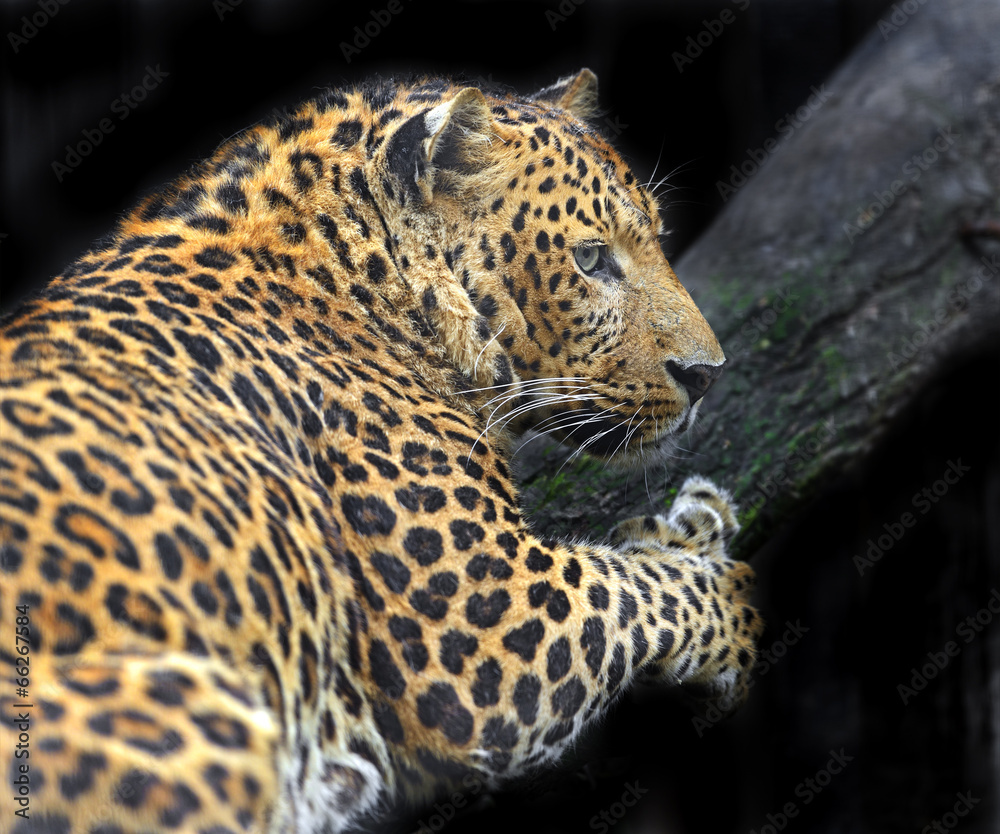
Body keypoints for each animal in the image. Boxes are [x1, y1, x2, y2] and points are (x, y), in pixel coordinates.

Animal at [0, 69, 763, 834]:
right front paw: (730, 595)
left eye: (658, 239)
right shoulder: (495, 624)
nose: (707, 374)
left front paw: (688, 527)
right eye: (590, 258)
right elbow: (640, 589)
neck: (357, 280)